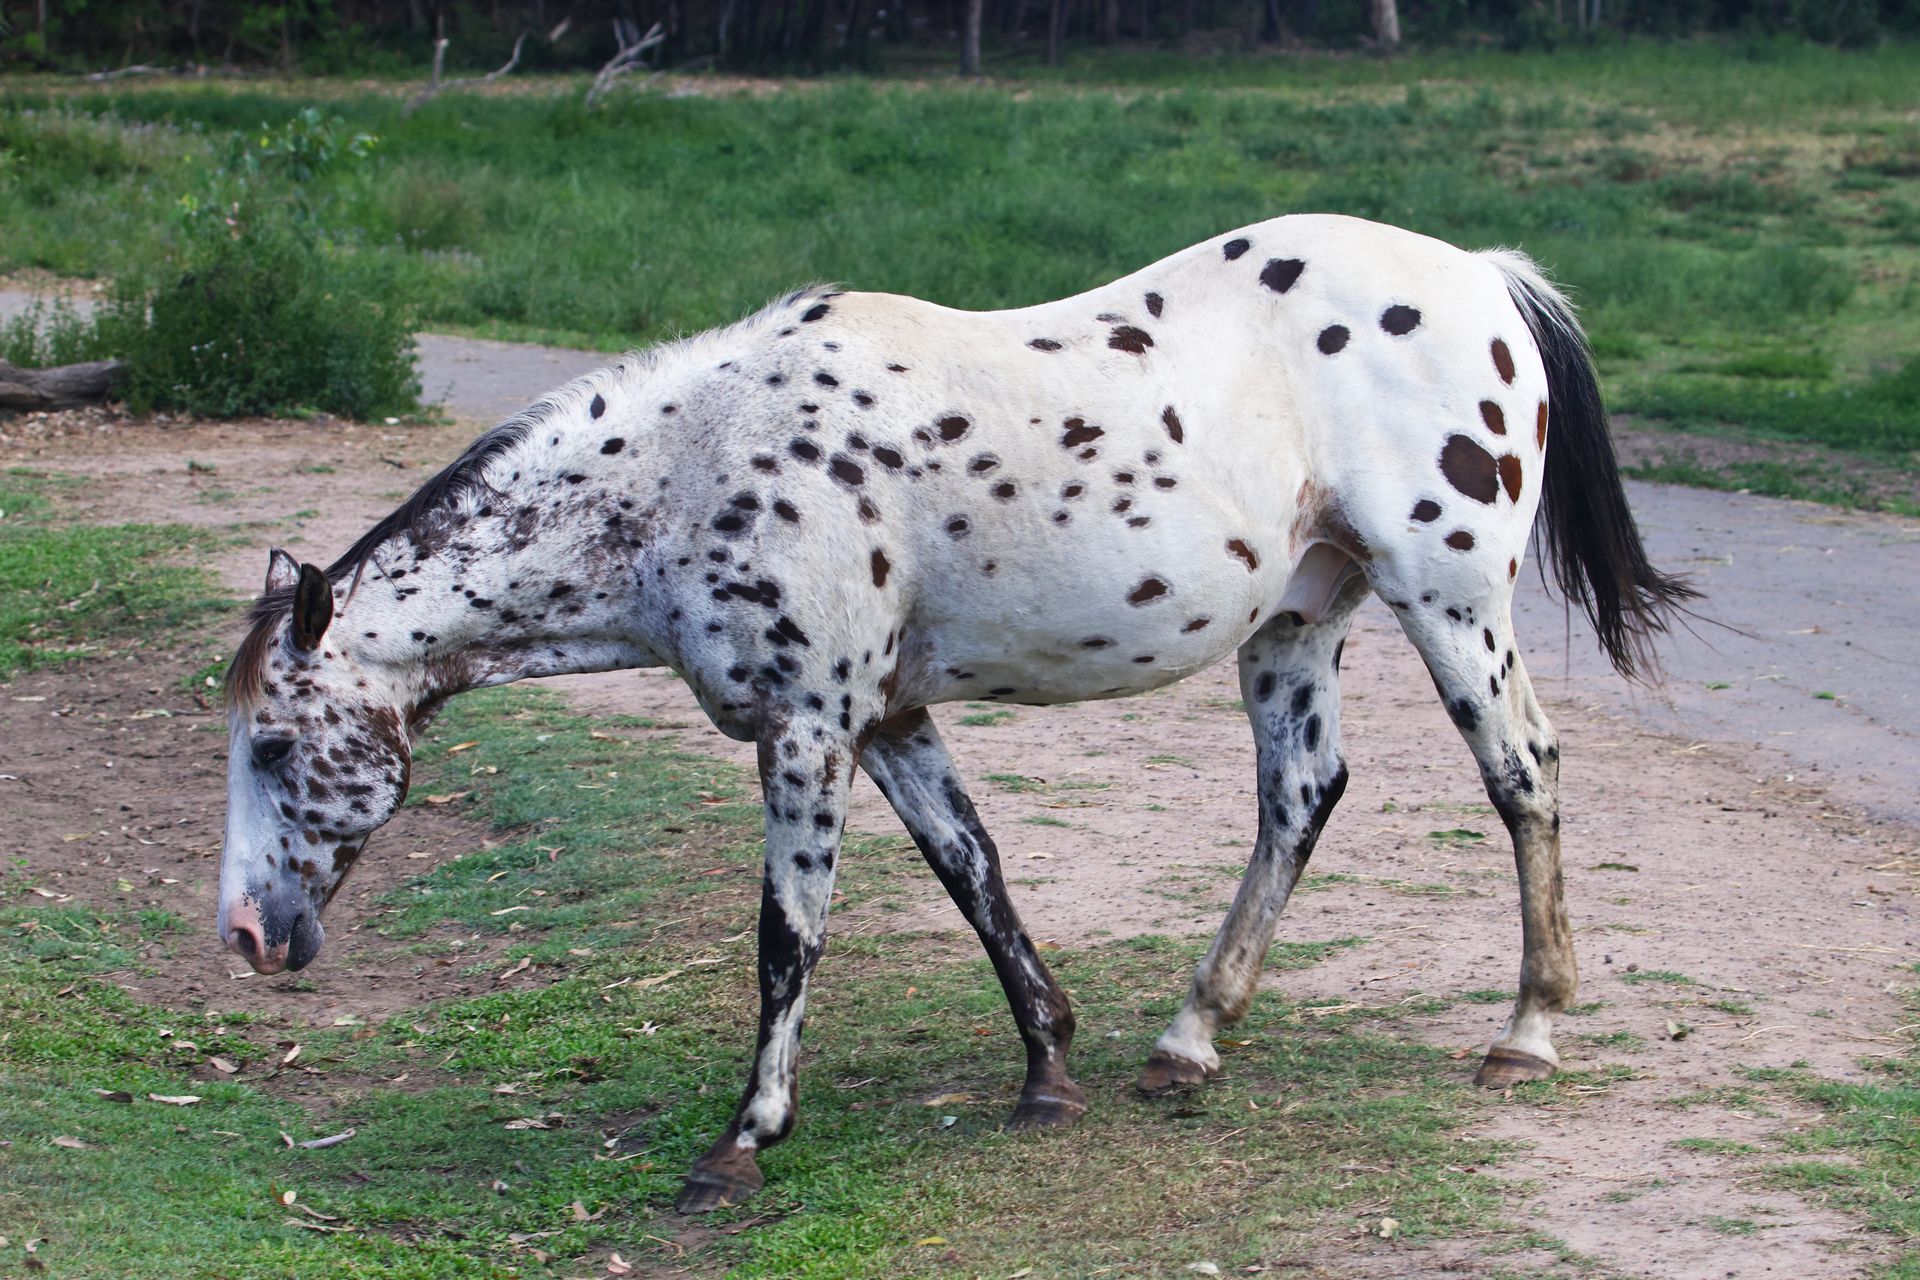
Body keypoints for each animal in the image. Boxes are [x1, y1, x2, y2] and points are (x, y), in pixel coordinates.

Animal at [217, 212, 1695, 1213]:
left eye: (276, 742)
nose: (244, 935)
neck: (697, 466)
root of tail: (1484, 276)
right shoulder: (886, 722)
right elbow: (973, 872)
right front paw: (1048, 1068)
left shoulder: (810, 729)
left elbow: (789, 938)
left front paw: (744, 1138)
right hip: (1297, 622)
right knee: (1301, 797)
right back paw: (1190, 1041)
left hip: (1450, 599)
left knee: (1523, 774)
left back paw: (1526, 1031)